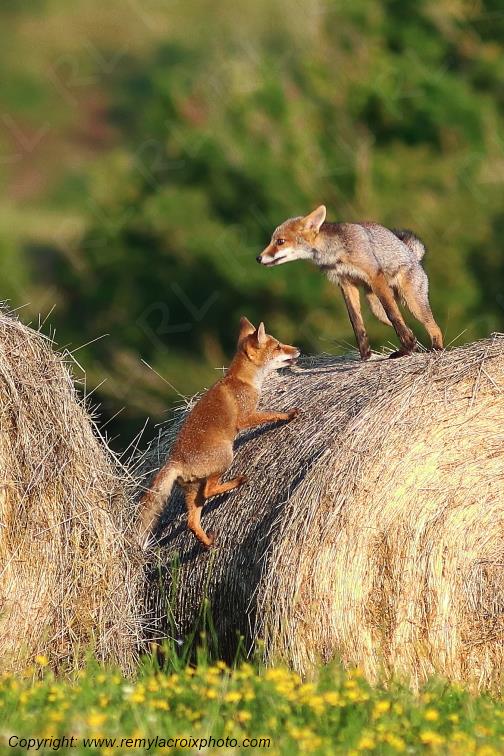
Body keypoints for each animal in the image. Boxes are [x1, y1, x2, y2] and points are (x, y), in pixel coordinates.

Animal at [137, 317, 300, 549]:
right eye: (278, 346)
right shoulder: (246, 418)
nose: (298, 349)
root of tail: (175, 461)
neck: (242, 380)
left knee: (191, 522)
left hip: (193, 491)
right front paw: (288, 415)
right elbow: (272, 414)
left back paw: (207, 542)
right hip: (225, 458)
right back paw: (237, 482)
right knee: (210, 491)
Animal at [257, 205, 443, 360]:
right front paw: (365, 354)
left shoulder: (374, 275)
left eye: (280, 242)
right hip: (376, 310)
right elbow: (356, 321)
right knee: (407, 326)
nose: (258, 258)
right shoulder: (346, 283)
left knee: (432, 326)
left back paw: (434, 349)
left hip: (411, 303)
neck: (336, 255)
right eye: (272, 240)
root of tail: (413, 255)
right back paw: (408, 348)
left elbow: (393, 314)